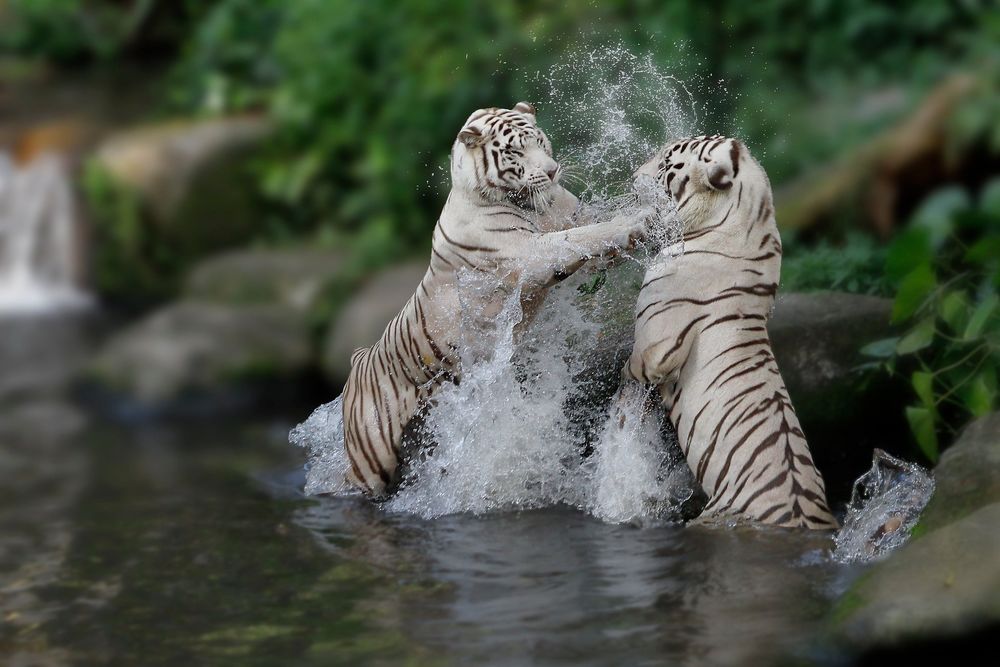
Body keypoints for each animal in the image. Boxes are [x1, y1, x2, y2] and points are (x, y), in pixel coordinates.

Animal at [344, 103, 656, 496]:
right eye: (515, 152)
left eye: (539, 141)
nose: (552, 171)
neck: (532, 205)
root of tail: (358, 361)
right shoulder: (531, 254)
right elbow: (580, 237)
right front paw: (637, 220)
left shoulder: (570, 218)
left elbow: (594, 225)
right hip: (371, 461)